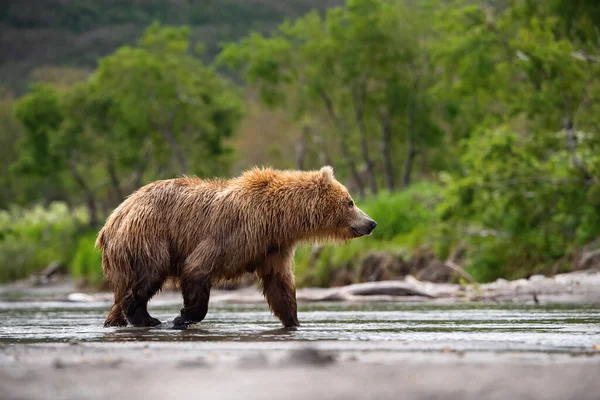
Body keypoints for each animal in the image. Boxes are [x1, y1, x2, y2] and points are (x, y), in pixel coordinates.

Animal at [96, 165, 378, 328]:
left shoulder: (272, 247)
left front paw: (294, 321)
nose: (372, 223)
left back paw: (115, 321)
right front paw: (183, 316)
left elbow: (280, 284)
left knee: (123, 290)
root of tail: (111, 219)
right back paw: (146, 318)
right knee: (147, 277)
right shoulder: (232, 233)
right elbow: (197, 268)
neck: (277, 219)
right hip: (148, 236)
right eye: (350, 201)